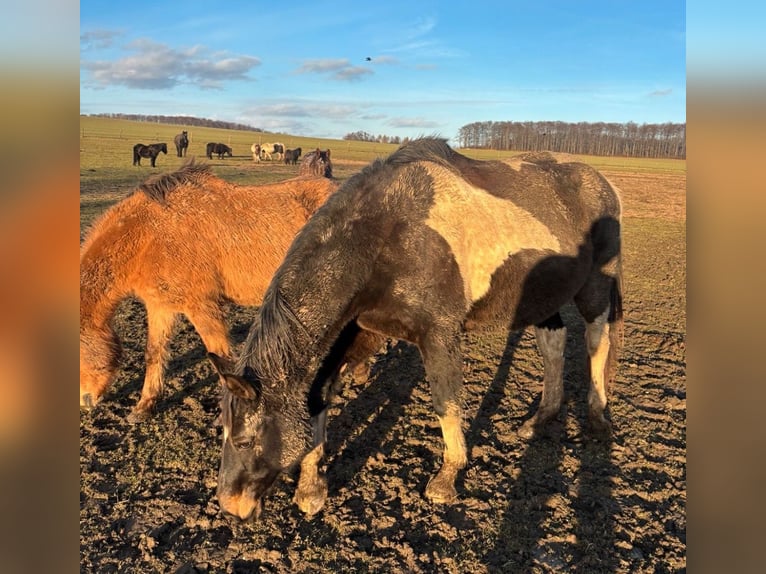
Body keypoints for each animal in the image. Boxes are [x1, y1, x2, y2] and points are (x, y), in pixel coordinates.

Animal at [79, 160, 340, 422]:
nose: (85, 402)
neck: (150, 235)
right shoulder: (161, 306)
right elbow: (154, 352)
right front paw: (144, 407)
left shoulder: (202, 307)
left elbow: (220, 357)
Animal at [208, 137, 624, 521]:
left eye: (244, 440)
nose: (229, 506)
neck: (383, 238)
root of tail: (602, 183)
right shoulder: (347, 335)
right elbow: (318, 399)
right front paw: (311, 488)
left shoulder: (439, 334)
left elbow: (445, 403)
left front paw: (446, 479)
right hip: (543, 297)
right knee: (554, 345)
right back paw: (541, 418)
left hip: (594, 288)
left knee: (596, 342)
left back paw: (597, 418)